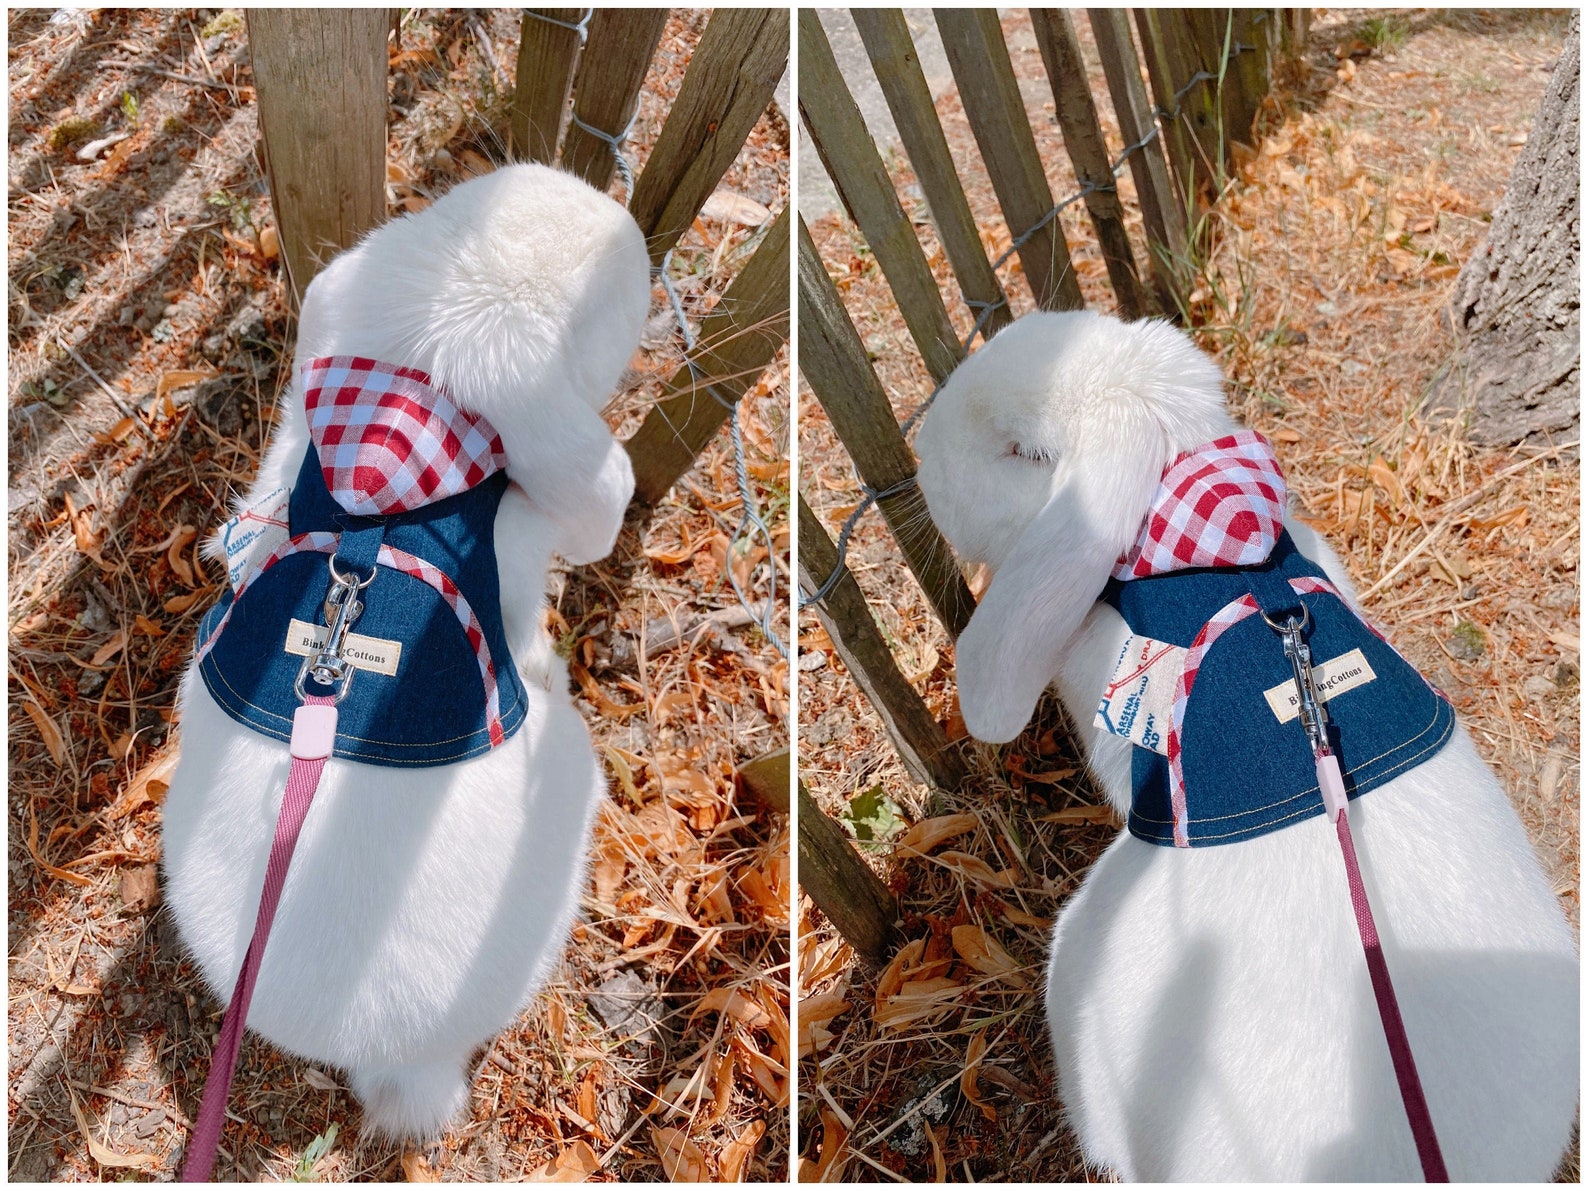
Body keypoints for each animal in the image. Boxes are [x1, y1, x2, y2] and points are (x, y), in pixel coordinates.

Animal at [161, 162, 650, 1140]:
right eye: (606, 309)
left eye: (466, 194)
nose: (636, 236)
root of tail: (399, 1059)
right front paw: (546, 650)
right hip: (569, 774)